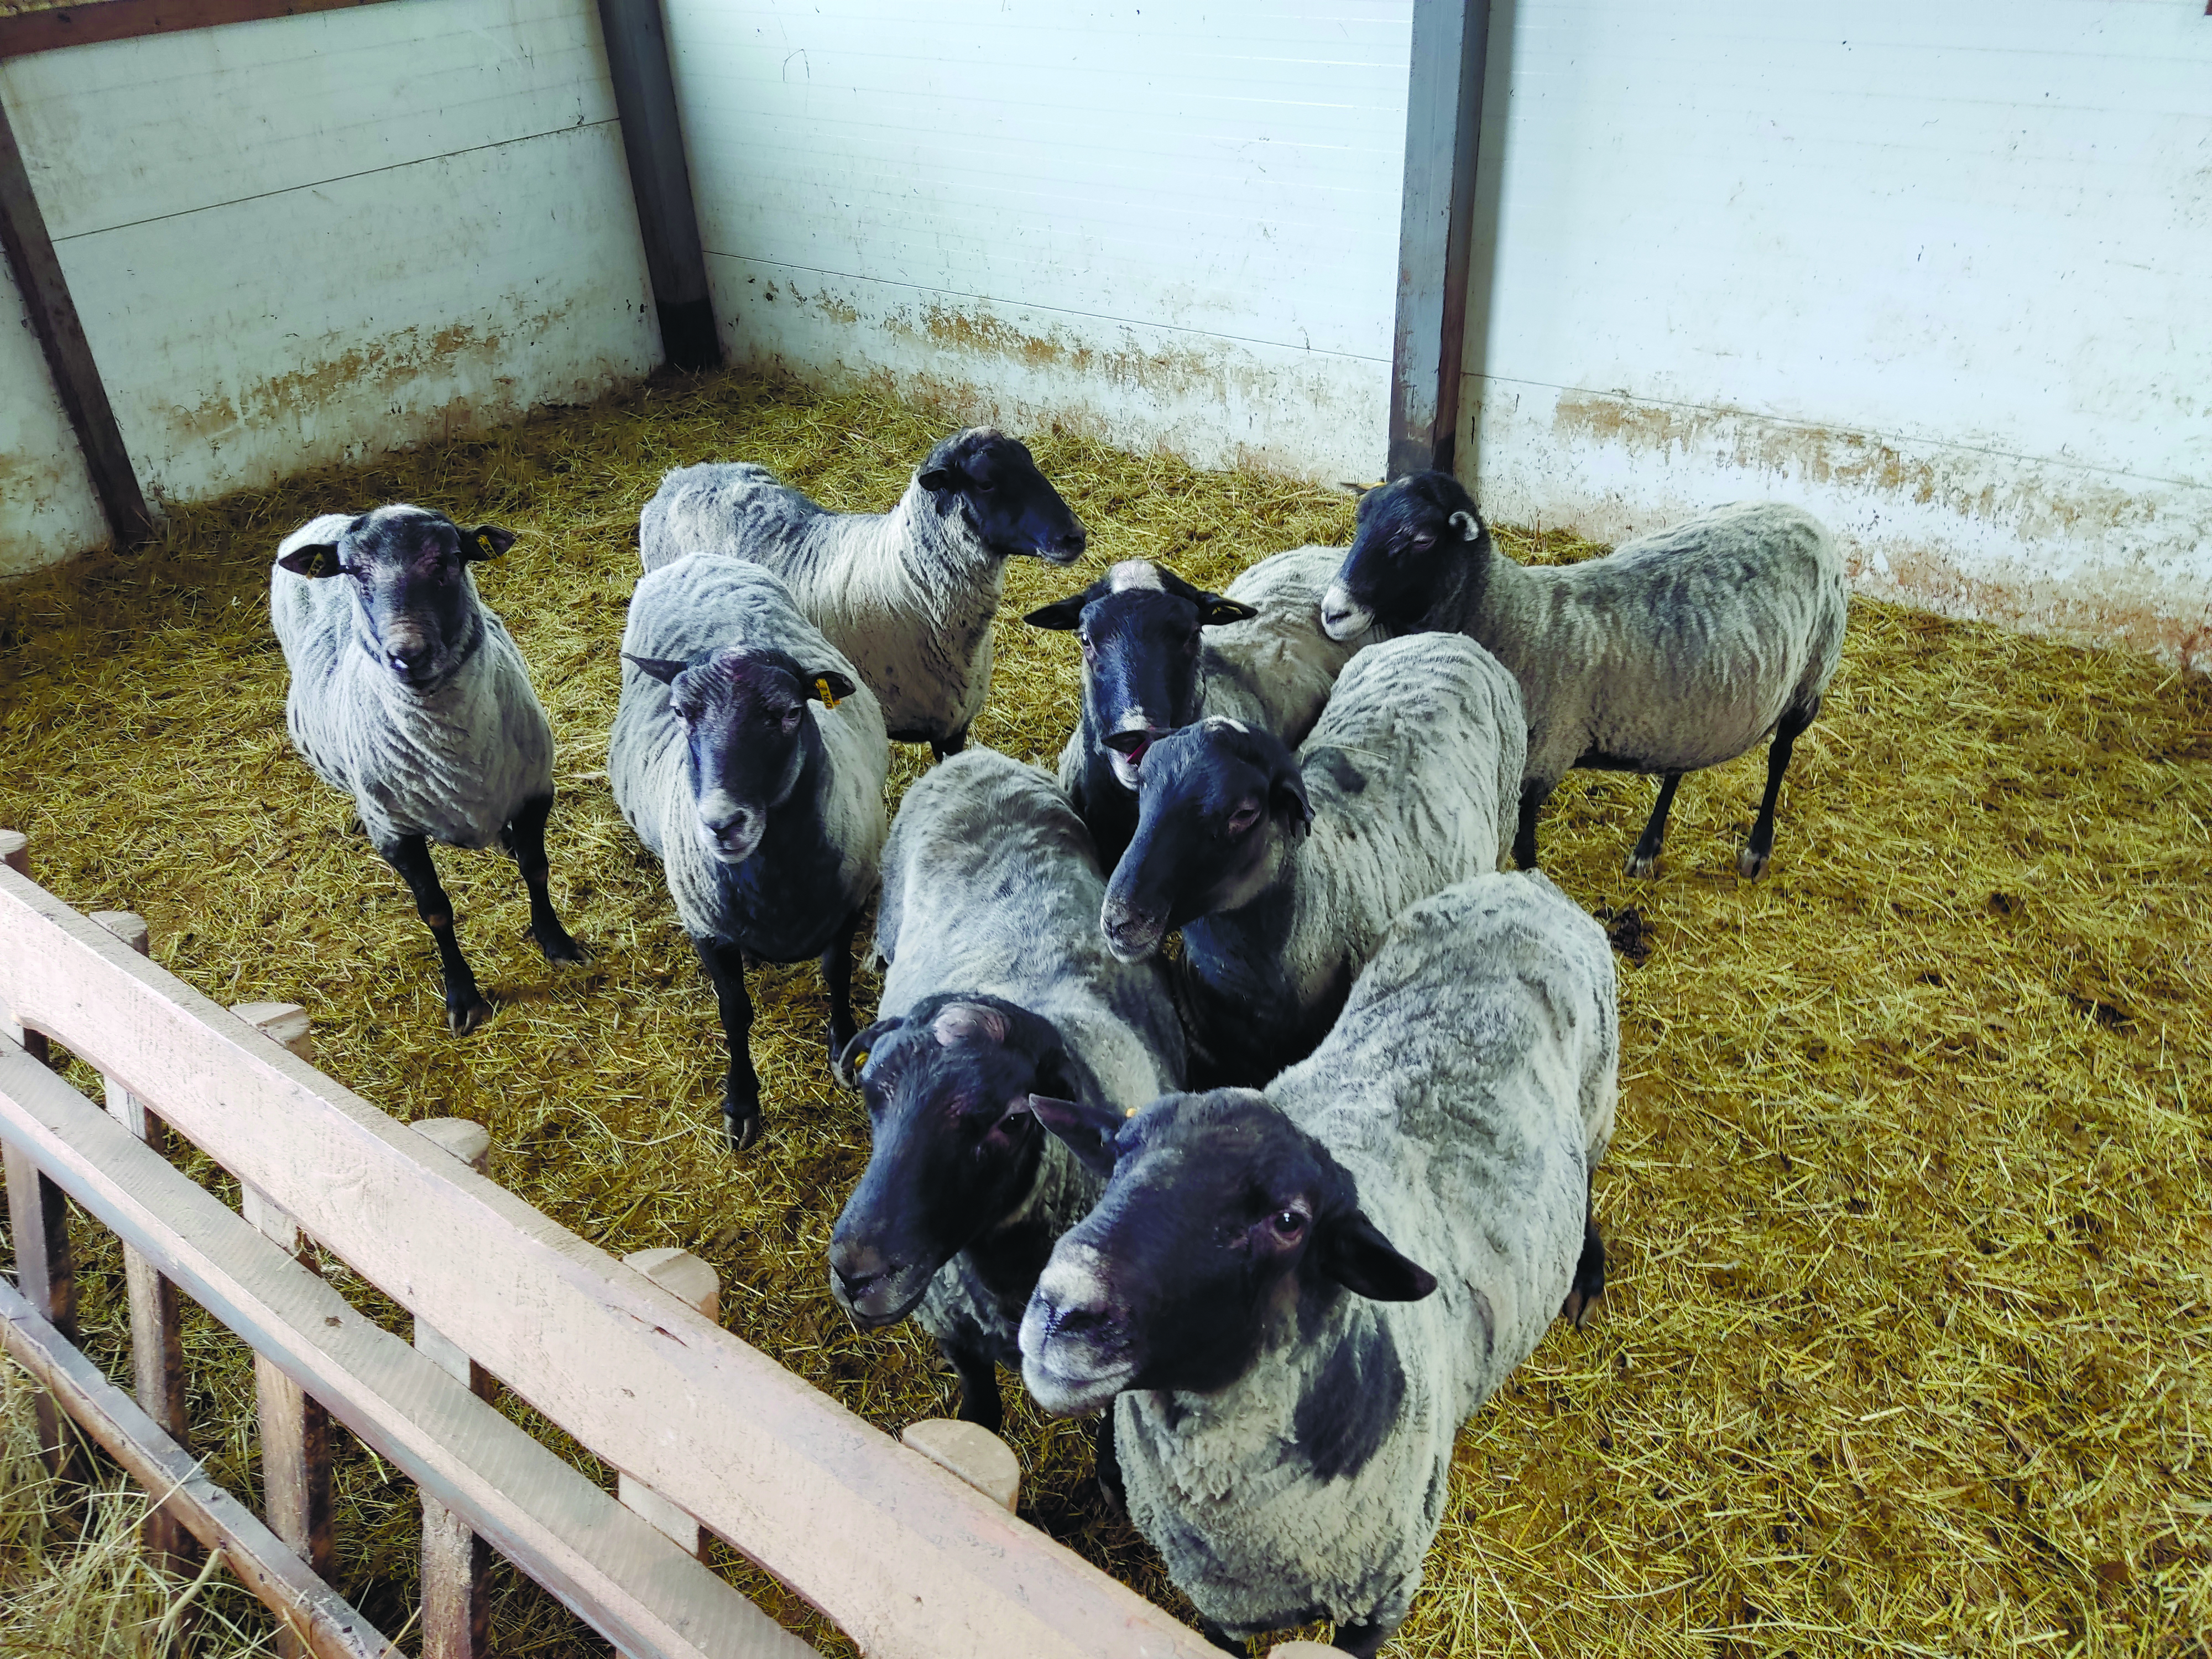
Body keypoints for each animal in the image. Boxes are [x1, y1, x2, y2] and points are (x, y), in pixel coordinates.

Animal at [269, 504, 586, 1035]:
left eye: (452, 559)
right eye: (353, 572)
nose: (407, 654)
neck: (456, 757)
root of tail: (322, 519)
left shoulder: (534, 792)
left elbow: (536, 869)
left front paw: (558, 943)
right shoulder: (397, 833)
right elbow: (436, 912)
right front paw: (463, 996)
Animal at [610, 555, 888, 1150]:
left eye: (789, 713)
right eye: (680, 713)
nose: (722, 823)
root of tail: (697, 559)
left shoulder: (846, 904)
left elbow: (836, 976)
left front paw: (843, 1048)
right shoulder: (705, 926)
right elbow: (733, 1012)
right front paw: (741, 1104)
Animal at [826, 747, 1184, 1432]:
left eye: (1013, 1120)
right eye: (872, 1095)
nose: (856, 1273)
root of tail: (975, 756)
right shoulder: (957, 1340)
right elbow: (977, 1422)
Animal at [1018, 871, 1619, 1656]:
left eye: (1288, 1222)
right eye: (1118, 1154)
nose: (1063, 1308)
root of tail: (1527, 884)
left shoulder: (1380, 1599)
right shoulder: (1222, 1605)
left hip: (1597, 1099)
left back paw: (1586, 1273)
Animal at [1319, 474, 1847, 879]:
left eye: (1421, 539)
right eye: (1360, 520)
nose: (1333, 612)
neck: (1513, 616)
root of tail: (1799, 513)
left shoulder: (1540, 764)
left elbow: (1524, 850)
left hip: (1811, 677)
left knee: (1781, 754)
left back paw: (1757, 848)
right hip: (1692, 698)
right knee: (1679, 763)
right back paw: (1647, 849)